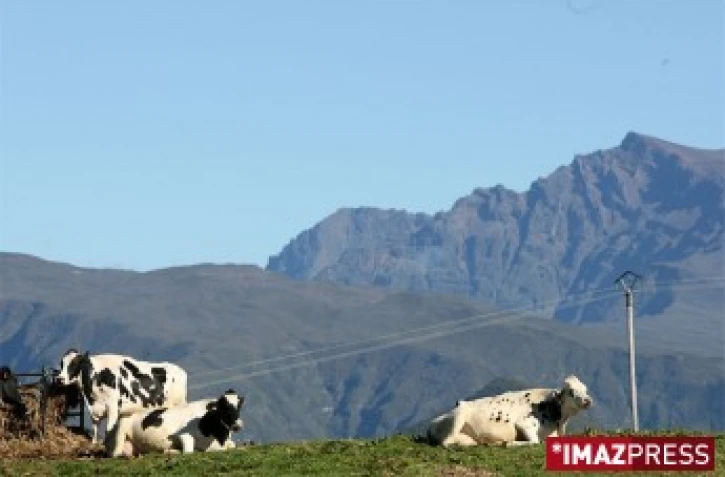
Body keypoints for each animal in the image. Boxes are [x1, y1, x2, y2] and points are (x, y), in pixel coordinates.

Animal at [55, 349, 188, 445]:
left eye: (74, 363)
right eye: (61, 364)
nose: (60, 379)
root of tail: (181, 370)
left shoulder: (113, 408)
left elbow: (109, 429)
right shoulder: (94, 410)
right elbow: (95, 427)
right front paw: (94, 443)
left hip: (179, 404)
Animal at [107, 389, 245, 457]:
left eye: (239, 406)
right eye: (224, 408)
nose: (237, 425)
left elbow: (232, 446)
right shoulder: (183, 435)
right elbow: (189, 451)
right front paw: (174, 451)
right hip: (121, 431)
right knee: (115, 454)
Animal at [426, 375, 593, 447]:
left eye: (585, 389)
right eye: (571, 391)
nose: (587, 400)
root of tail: (432, 423)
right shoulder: (524, 423)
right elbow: (534, 441)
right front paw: (510, 443)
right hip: (459, 414)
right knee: (446, 442)